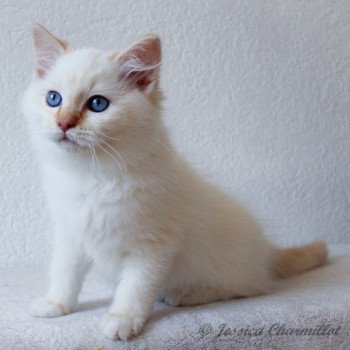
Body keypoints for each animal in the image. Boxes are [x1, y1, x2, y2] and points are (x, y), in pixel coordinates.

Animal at [22, 23, 328, 340]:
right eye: (54, 99)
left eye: (97, 104)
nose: (64, 123)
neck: (92, 175)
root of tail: (267, 252)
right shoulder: (70, 234)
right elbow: (64, 273)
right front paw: (56, 304)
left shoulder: (154, 244)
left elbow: (135, 287)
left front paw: (122, 318)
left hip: (226, 267)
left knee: (247, 288)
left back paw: (185, 295)